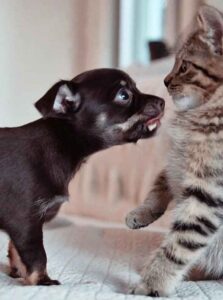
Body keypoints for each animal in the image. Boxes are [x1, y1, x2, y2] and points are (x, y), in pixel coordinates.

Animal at [126, 5, 223, 298]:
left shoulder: (207, 196)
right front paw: (141, 213)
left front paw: (153, 282)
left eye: (184, 66)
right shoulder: (175, 163)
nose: (165, 80)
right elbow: (160, 185)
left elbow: (180, 243)